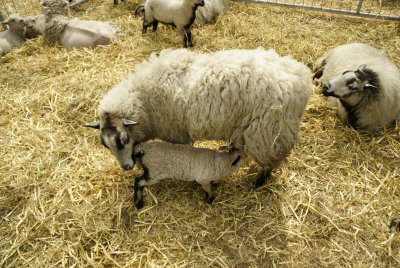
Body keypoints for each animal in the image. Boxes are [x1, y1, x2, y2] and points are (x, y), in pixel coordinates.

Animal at [86, 46, 312, 188]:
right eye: (105, 145)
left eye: (124, 139)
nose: (126, 168)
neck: (144, 99)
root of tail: (301, 78)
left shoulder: (176, 134)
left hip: (268, 133)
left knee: (272, 160)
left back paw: (259, 181)